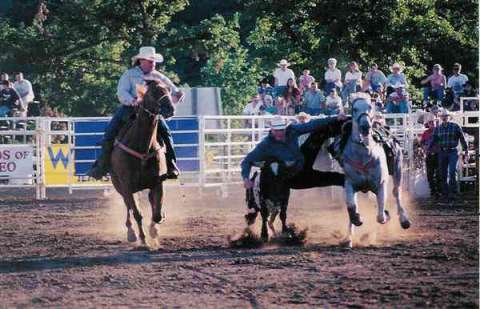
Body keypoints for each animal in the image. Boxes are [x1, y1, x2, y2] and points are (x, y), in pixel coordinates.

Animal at [109, 80, 175, 245]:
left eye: (169, 90)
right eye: (153, 92)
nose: (170, 108)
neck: (142, 147)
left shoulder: (158, 182)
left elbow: (157, 212)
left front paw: (154, 230)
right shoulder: (126, 185)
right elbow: (137, 212)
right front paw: (143, 239)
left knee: (150, 203)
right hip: (120, 186)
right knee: (128, 206)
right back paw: (131, 232)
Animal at [342, 95, 408, 247]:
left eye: (370, 107)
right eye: (355, 109)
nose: (365, 126)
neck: (364, 154)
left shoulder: (381, 184)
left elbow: (380, 216)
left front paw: (386, 215)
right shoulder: (350, 184)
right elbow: (351, 207)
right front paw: (355, 224)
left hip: (398, 169)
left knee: (396, 192)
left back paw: (404, 220)